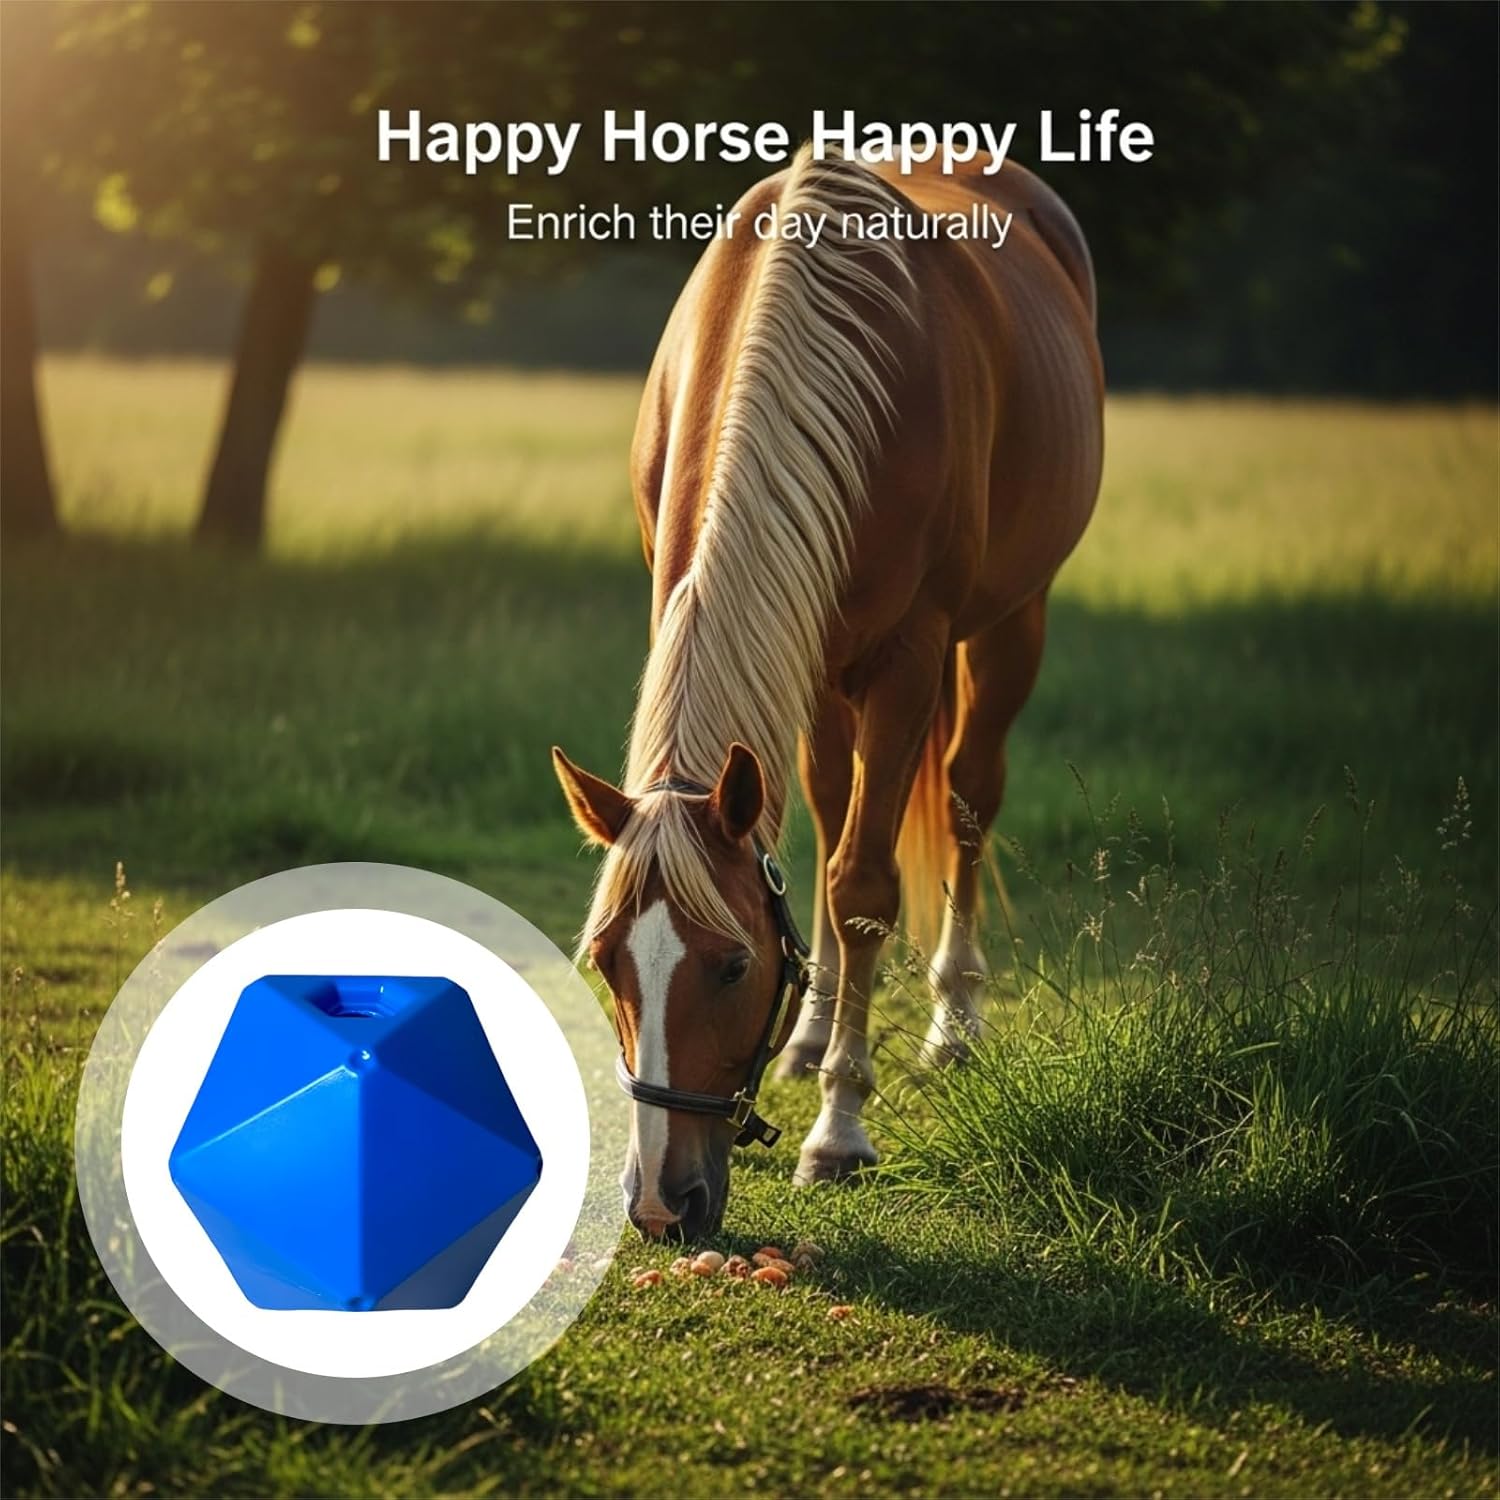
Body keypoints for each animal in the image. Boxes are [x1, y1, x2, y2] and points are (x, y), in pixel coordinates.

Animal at [553, 144, 1103, 1241]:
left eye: (731, 966)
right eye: (604, 959)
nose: (662, 1205)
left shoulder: (907, 660)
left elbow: (863, 889)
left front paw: (840, 1130)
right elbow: (817, 841)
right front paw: (816, 1049)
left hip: (1009, 622)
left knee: (967, 800)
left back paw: (953, 1020)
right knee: (824, 804)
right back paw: (810, 1037)